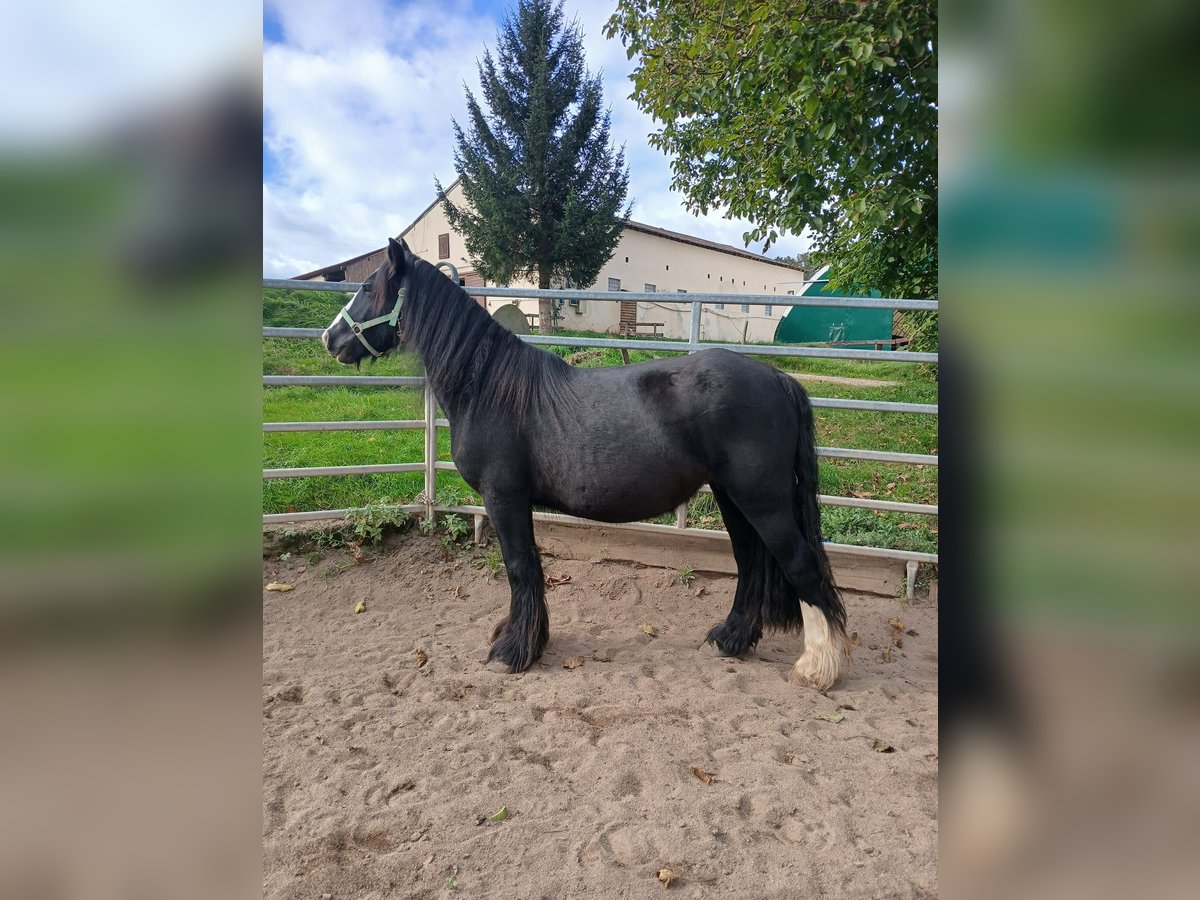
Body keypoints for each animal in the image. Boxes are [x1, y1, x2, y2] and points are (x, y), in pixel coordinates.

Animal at [324, 240, 849, 691]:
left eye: (369, 287)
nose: (331, 338)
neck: (490, 389)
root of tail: (778, 378)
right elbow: (528, 568)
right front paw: (526, 640)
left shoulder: (503, 498)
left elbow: (520, 568)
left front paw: (513, 652)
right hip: (732, 498)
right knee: (750, 563)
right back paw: (730, 640)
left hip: (762, 500)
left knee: (800, 565)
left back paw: (817, 667)